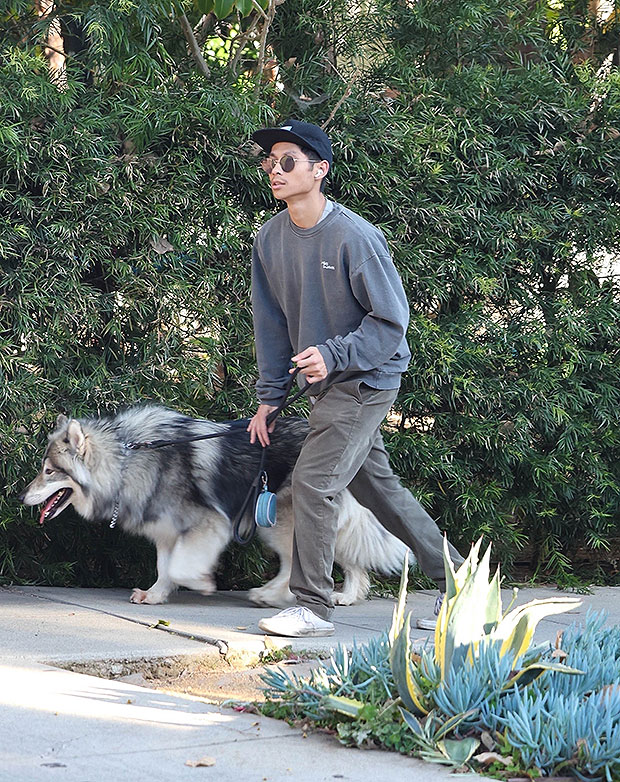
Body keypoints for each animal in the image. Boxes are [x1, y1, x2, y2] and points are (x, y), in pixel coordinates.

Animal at [19, 408, 410, 608]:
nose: (21, 498)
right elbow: (165, 567)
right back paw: (346, 595)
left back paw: (271, 595)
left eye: (49, 471)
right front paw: (156, 595)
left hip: (278, 521)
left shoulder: (209, 525)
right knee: (345, 560)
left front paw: (202, 583)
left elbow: (181, 566)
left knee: (295, 564)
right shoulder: (166, 532)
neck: (127, 460)